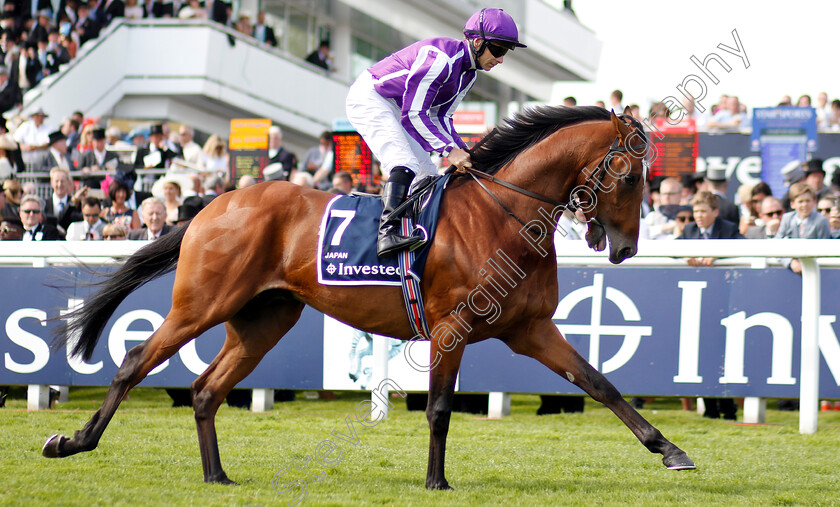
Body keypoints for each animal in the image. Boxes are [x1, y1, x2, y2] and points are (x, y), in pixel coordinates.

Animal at [42, 107, 696, 492]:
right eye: (630, 174)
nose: (627, 247)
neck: (503, 214)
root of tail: (211, 204)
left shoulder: (530, 328)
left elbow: (600, 383)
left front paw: (670, 451)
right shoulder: (452, 327)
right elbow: (439, 408)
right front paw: (436, 483)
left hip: (263, 320)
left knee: (205, 389)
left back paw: (217, 475)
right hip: (201, 304)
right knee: (134, 362)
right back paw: (72, 442)